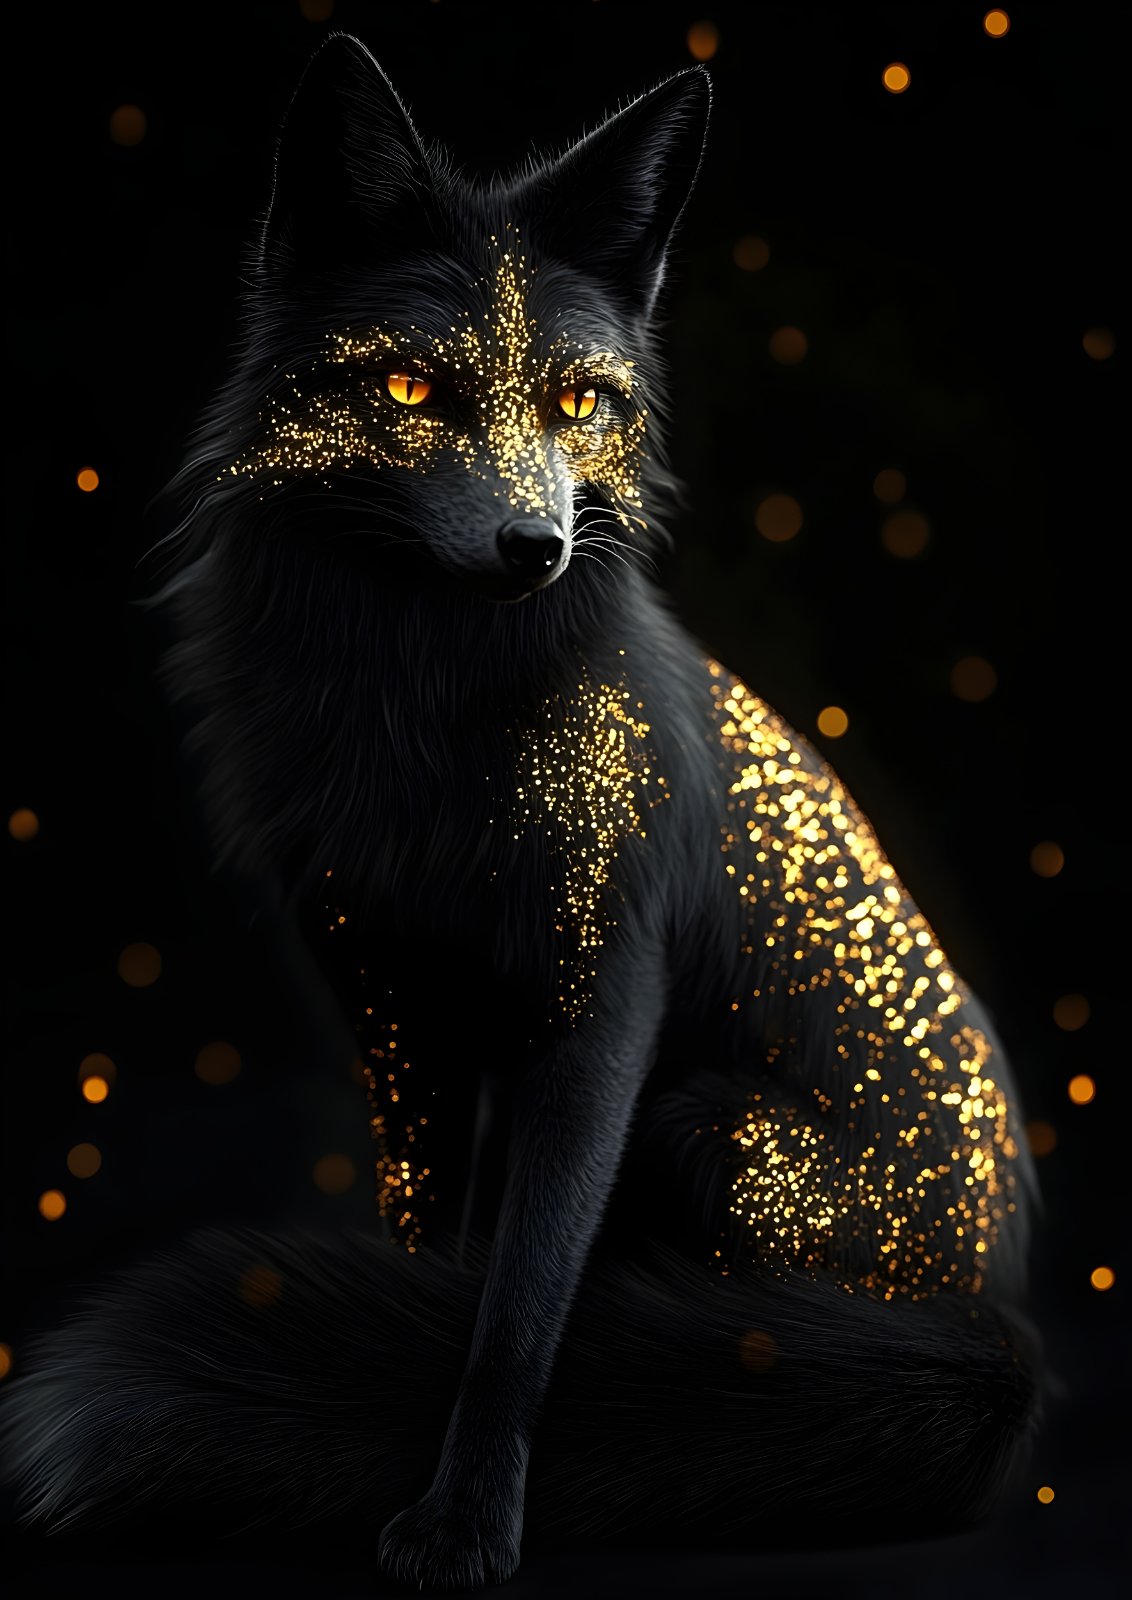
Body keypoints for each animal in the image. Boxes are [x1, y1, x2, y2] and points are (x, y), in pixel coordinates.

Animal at [2, 33, 1040, 1593]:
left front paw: (466, 1515)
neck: (422, 727)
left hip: (712, 1132)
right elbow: (442, 1251)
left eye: (577, 404)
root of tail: (1001, 1316)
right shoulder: (390, 993)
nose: (533, 549)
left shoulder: (598, 999)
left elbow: (521, 1305)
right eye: (413, 390)